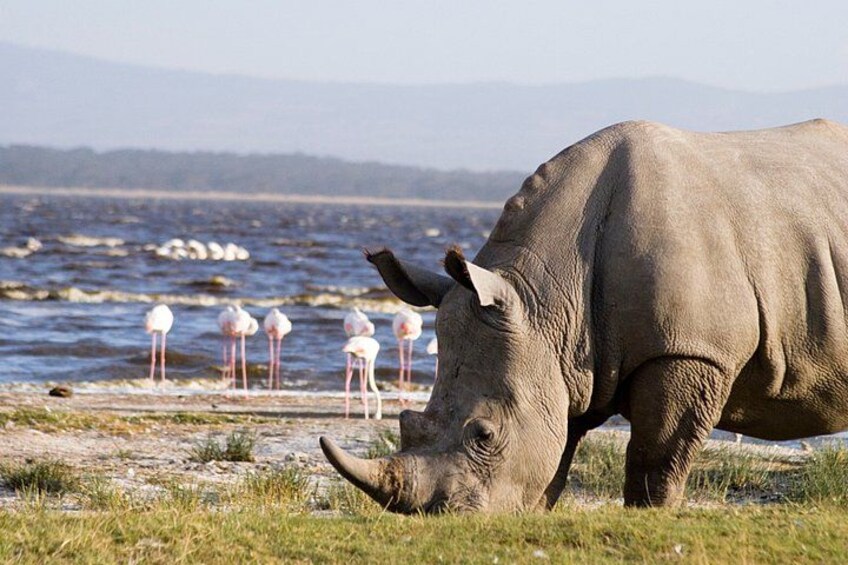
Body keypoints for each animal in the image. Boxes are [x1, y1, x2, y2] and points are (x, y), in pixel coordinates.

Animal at [320, 119, 848, 511]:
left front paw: (648, 518)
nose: (440, 518)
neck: (545, 299)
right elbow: (556, 452)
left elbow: (656, 456)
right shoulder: (561, 357)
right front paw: (530, 516)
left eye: (485, 434)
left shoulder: (693, 350)